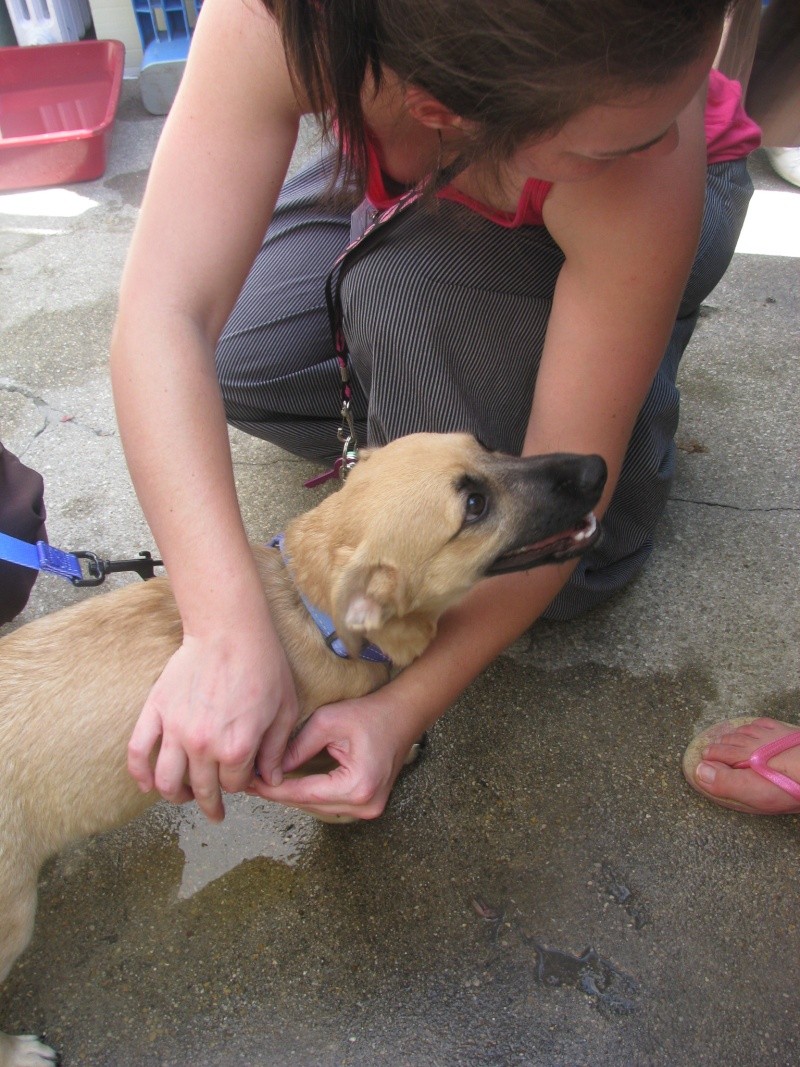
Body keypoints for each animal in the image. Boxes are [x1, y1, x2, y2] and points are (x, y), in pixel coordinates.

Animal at [0, 433, 605, 1067]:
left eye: (485, 446)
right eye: (473, 506)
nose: (597, 467)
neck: (313, 610)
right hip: (11, 921)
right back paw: (19, 1050)